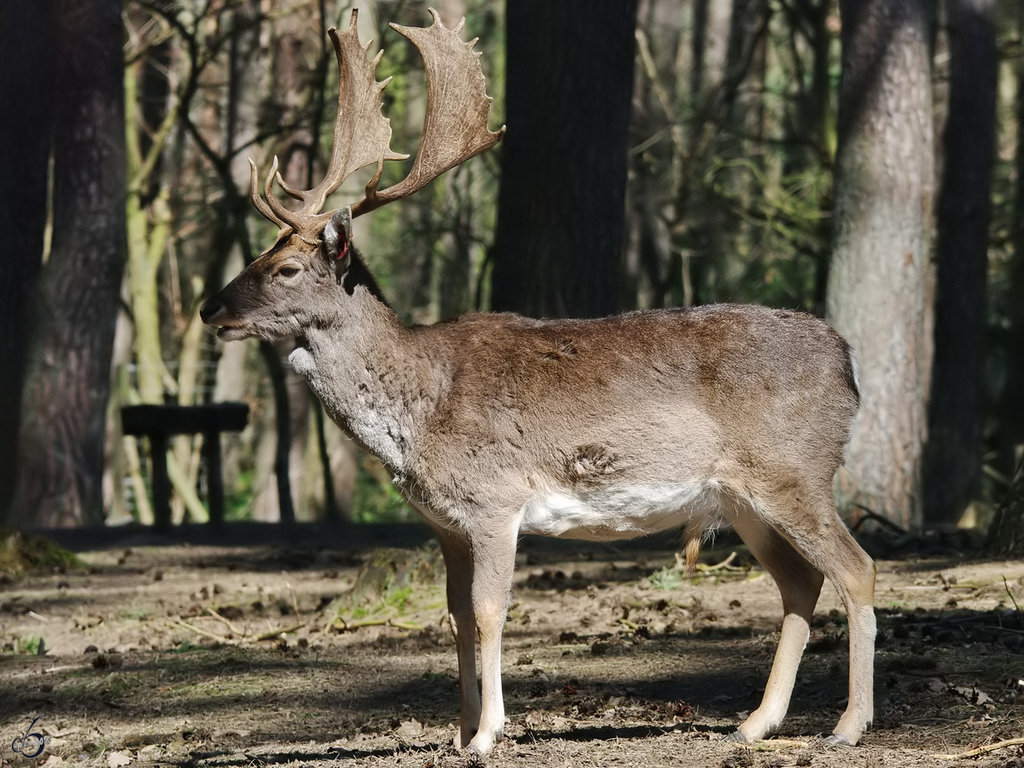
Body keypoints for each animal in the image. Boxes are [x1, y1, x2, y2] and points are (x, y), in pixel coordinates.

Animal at [199, 10, 872, 757]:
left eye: (287, 268)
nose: (210, 307)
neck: (419, 409)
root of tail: (848, 362)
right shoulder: (445, 522)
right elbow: (455, 617)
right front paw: (462, 733)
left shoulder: (496, 500)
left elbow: (491, 611)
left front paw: (489, 734)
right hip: (743, 497)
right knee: (801, 584)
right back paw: (756, 722)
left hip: (795, 470)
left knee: (856, 570)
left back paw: (847, 726)